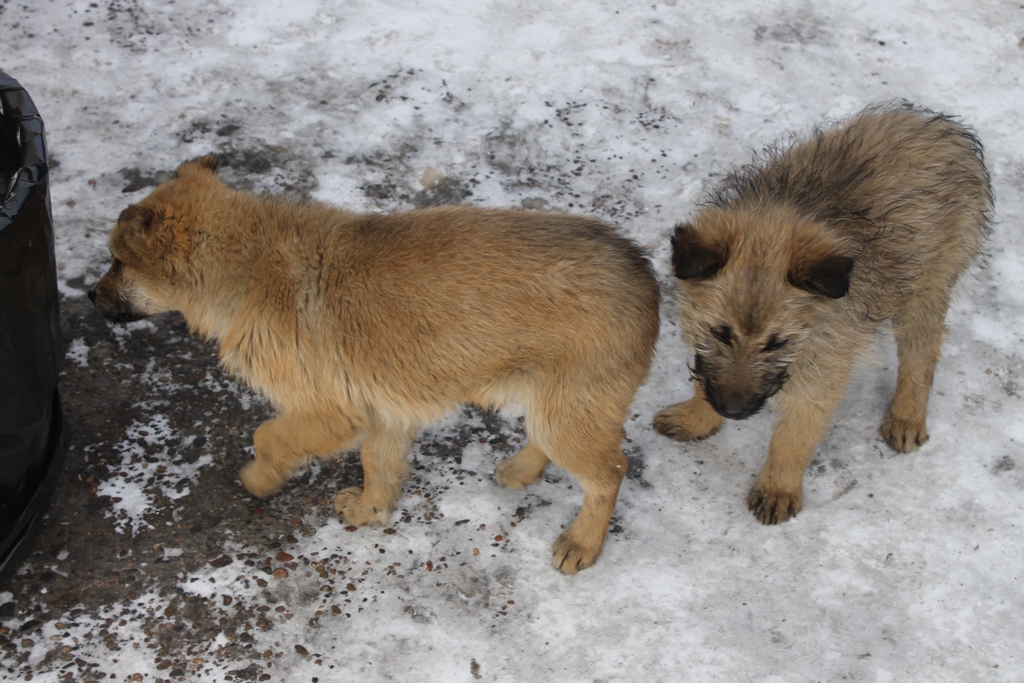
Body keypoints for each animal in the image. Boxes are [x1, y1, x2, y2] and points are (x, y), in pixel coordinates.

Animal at [92, 153, 659, 573]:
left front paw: (260, 479)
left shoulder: (330, 412)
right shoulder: (382, 408)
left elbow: (268, 436)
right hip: (555, 398)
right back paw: (521, 469)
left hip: (572, 407)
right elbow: (378, 462)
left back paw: (582, 542)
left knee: (610, 471)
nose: (91, 298)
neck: (246, 263)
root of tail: (643, 267)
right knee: (551, 439)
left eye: (117, 262)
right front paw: (372, 508)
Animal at [655, 104, 991, 528]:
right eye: (720, 333)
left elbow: (794, 437)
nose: (733, 411)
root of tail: (945, 128)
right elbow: (706, 379)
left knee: (922, 353)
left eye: (778, 343)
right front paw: (696, 417)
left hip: (926, 287)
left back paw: (907, 417)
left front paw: (778, 488)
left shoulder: (822, 366)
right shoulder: (706, 346)